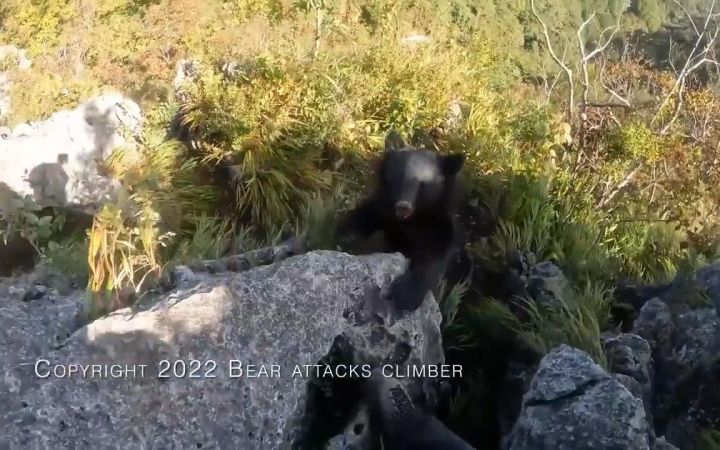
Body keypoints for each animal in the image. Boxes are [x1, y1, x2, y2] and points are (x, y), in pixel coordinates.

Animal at [336, 130, 465, 311]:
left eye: (423, 184)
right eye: (400, 177)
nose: (404, 207)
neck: (411, 222)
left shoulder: (438, 227)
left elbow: (432, 257)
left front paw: (405, 294)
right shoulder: (386, 211)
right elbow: (367, 214)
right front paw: (347, 237)